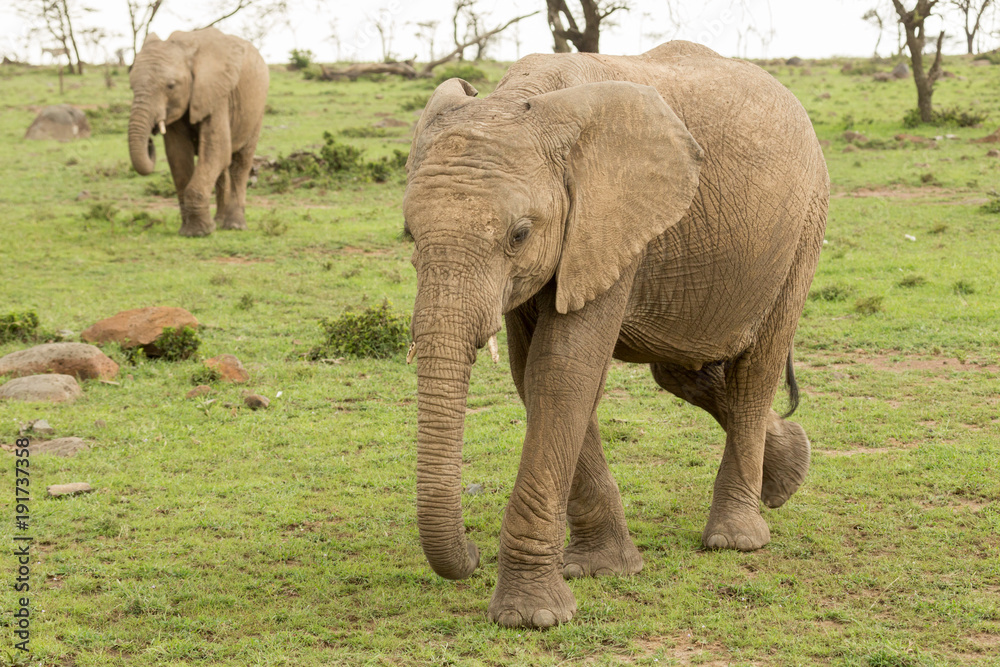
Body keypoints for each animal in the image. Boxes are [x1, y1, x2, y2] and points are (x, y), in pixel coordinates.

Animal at [128, 28, 269, 237]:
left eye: (170, 86)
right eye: (131, 87)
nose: (150, 140)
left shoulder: (217, 95)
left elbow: (216, 151)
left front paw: (199, 233)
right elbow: (178, 155)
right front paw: (190, 230)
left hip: (257, 110)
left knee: (240, 162)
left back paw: (234, 226)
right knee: (222, 169)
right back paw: (219, 221)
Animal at [403, 41, 829, 629]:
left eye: (519, 234)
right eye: (408, 234)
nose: (470, 555)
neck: (521, 98)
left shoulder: (608, 223)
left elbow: (562, 371)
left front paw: (532, 617)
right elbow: (535, 374)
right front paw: (604, 571)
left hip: (803, 227)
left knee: (754, 371)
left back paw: (736, 538)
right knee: (682, 370)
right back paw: (787, 475)